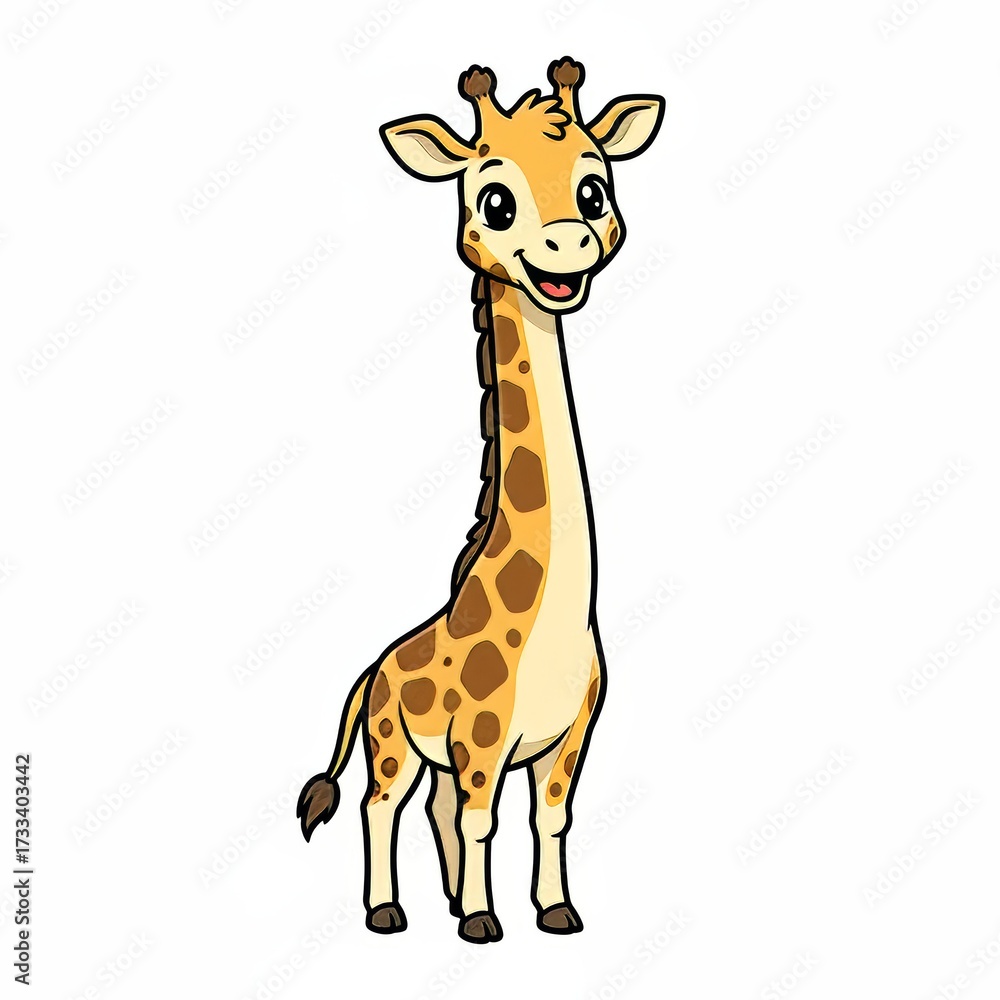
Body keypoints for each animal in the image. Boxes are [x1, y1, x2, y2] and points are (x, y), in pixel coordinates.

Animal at [298, 57, 663, 944]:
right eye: (495, 202)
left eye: (594, 189)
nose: (567, 244)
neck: (556, 618)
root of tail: (371, 671)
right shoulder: (483, 737)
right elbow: (479, 820)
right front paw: (481, 923)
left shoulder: (568, 737)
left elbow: (548, 818)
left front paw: (554, 911)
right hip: (393, 741)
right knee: (382, 805)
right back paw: (389, 911)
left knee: (428, 808)